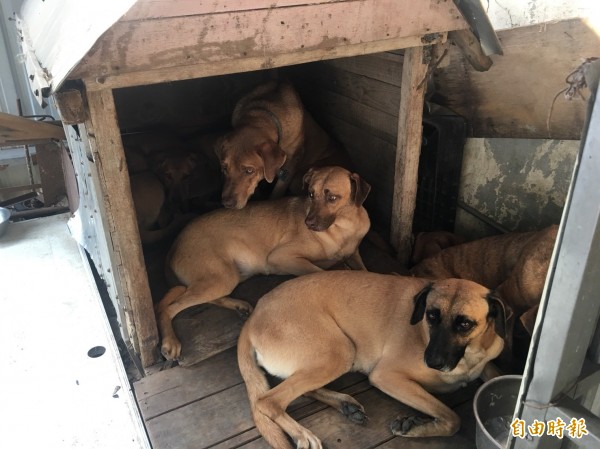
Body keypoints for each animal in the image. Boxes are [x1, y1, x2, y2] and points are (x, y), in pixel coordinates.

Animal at [155, 166, 370, 358]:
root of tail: (174, 244)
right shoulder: (281, 257)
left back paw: (238, 305)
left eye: (332, 198)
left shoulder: (354, 254)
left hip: (230, 276)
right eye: (310, 194)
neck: (344, 226)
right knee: (167, 307)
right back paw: (170, 342)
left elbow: (364, 271)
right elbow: (321, 272)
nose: (308, 223)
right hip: (222, 277)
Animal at [216, 79, 352, 208]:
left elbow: (278, 191)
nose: (227, 203)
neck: (261, 114)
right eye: (224, 168)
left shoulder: (291, 163)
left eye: (249, 170)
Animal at [237, 268, 504, 446]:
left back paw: (344, 404)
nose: (432, 361)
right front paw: (415, 426)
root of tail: (253, 317)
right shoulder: (387, 377)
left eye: (465, 324)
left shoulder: (486, 360)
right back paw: (303, 435)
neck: (468, 357)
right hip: (340, 351)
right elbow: (453, 418)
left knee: (298, 390)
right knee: (268, 401)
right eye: (431, 316)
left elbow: (494, 373)